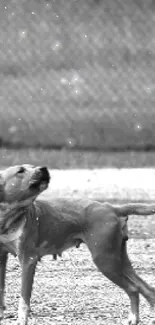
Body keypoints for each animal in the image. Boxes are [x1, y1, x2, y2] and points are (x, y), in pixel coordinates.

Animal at [0, 165, 155, 324]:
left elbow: (24, 299)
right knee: (147, 289)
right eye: (20, 171)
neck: (9, 216)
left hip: (106, 261)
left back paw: (134, 318)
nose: (44, 168)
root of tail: (111, 208)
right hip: (120, 260)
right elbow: (1, 290)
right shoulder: (2, 257)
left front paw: (21, 320)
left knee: (134, 289)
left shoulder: (28, 260)